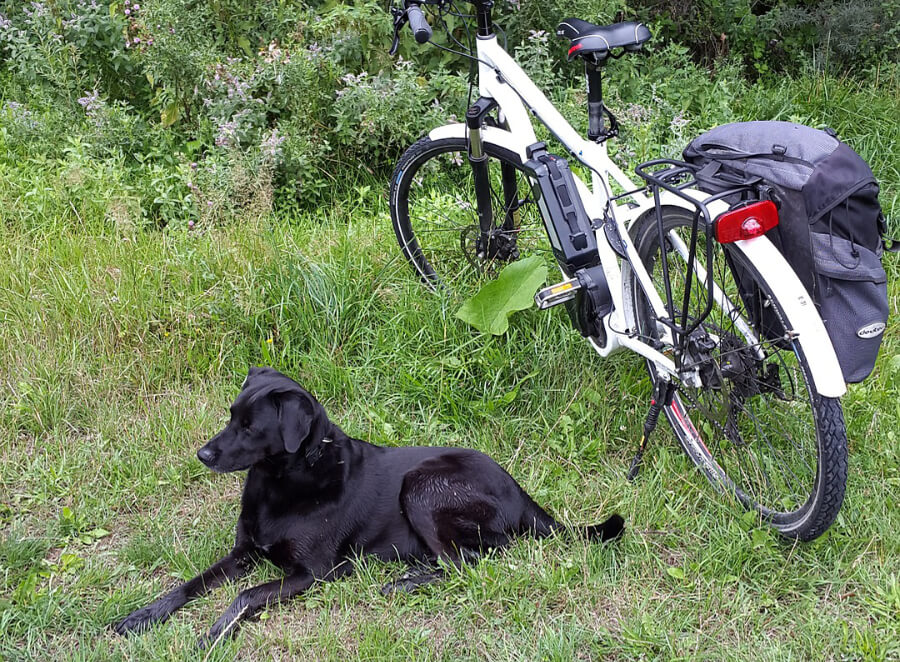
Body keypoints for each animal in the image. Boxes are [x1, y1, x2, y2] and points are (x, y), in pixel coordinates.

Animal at [114, 368, 624, 644]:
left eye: (251, 427)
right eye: (230, 416)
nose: (202, 454)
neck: (286, 480)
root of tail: (520, 492)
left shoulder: (310, 573)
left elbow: (245, 595)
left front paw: (215, 632)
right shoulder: (244, 554)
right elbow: (189, 584)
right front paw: (144, 615)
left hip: (421, 486)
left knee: (469, 561)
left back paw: (405, 582)